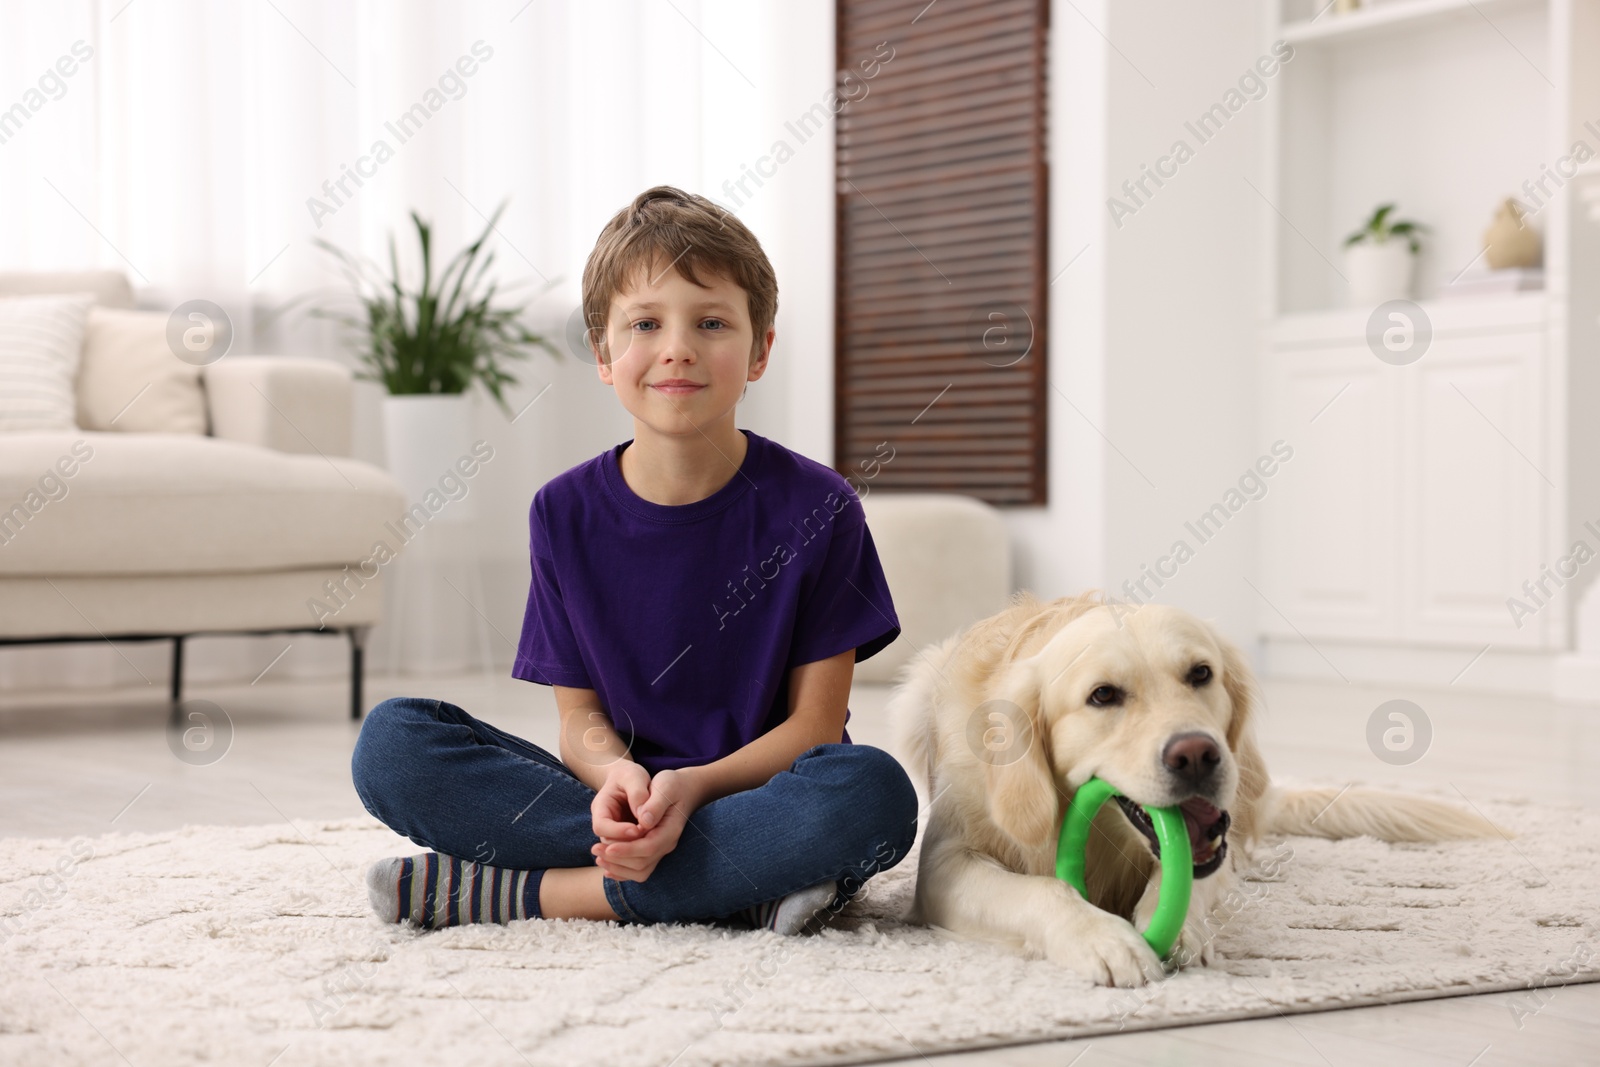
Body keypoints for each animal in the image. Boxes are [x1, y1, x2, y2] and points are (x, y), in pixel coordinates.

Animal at [889, 588, 1497, 991]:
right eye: (1103, 695)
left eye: (1200, 673)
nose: (1197, 755)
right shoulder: (944, 864)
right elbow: (1040, 891)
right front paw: (1101, 938)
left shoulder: (1214, 858)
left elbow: (1190, 881)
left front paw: (1175, 926)